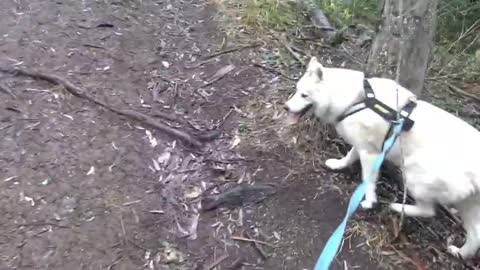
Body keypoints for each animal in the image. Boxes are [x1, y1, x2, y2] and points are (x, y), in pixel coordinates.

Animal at [284, 57, 480, 260]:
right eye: (297, 90)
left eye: (304, 95)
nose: (286, 107)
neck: (357, 99)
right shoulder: (362, 145)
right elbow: (349, 156)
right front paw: (338, 165)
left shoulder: (370, 154)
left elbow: (368, 181)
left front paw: (369, 202)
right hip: (467, 205)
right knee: (476, 234)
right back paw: (461, 253)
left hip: (412, 175)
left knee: (429, 210)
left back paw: (396, 207)